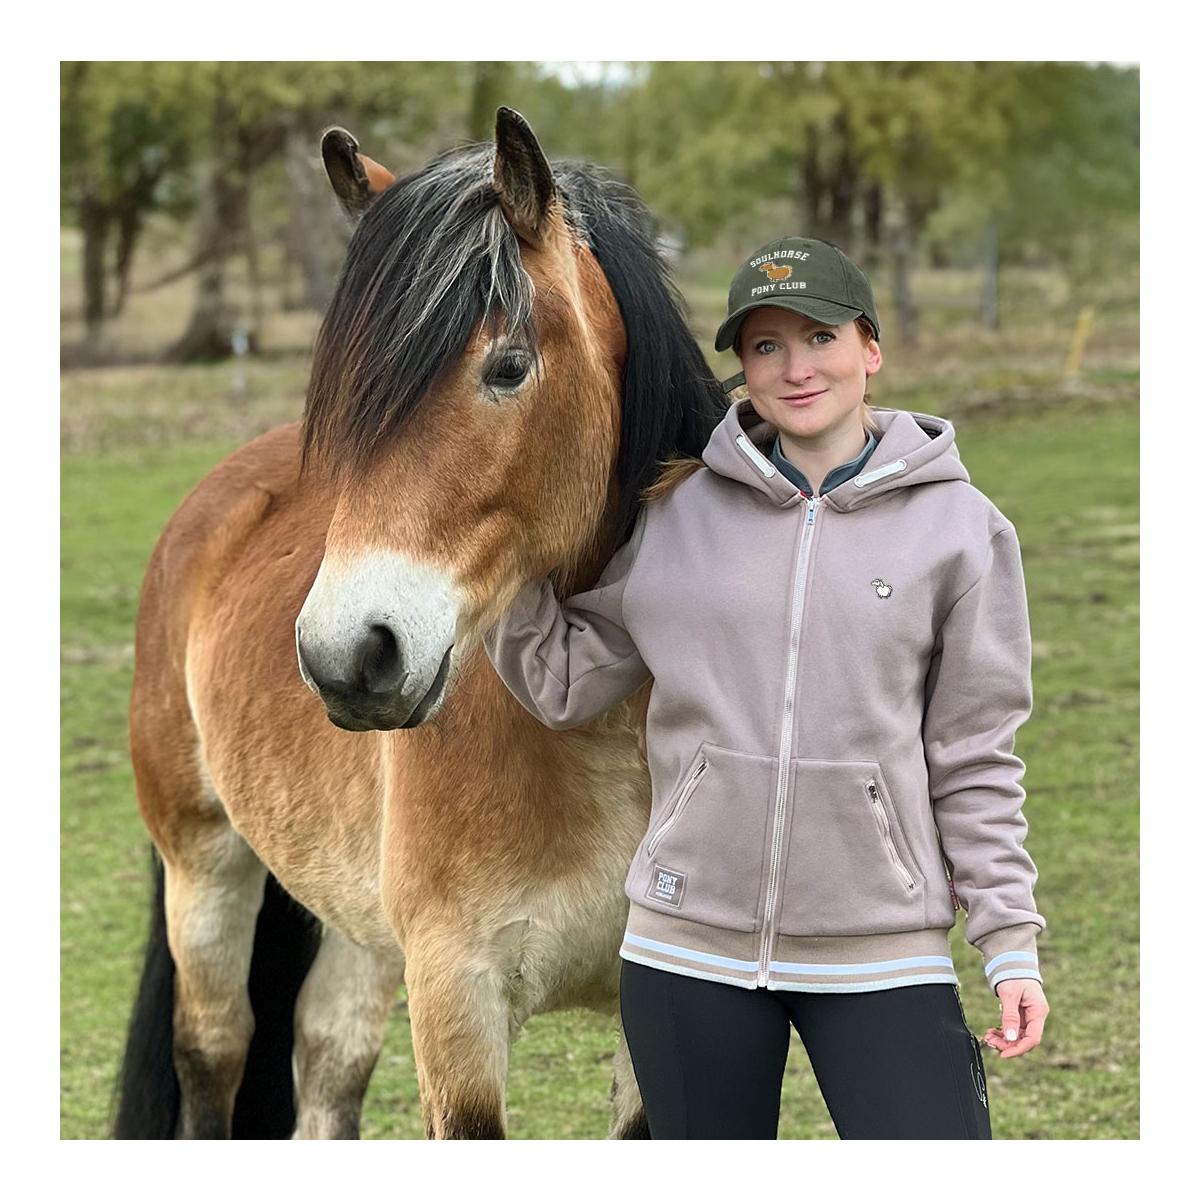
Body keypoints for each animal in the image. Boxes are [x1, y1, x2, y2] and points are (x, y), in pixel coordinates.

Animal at [113, 107, 727, 1139]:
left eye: (509, 368)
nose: (345, 656)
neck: (601, 741)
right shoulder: (456, 1000)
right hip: (206, 866)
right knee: (215, 1055)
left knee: (327, 1061)